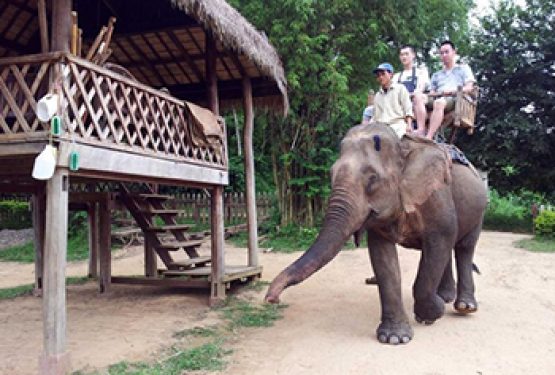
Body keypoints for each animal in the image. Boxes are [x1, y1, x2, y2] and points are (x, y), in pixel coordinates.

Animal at [264, 124, 486, 346]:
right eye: (330, 175)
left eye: (372, 179)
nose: (272, 299)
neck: (402, 148)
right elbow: (383, 258)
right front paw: (395, 338)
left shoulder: (436, 198)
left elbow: (438, 242)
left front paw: (430, 315)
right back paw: (446, 297)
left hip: (480, 208)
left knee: (464, 248)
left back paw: (464, 306)